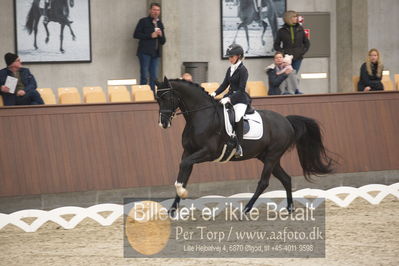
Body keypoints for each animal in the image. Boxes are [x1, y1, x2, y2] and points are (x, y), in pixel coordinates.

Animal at [156, 78, 334, 215]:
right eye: (157, 99)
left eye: (167, 97)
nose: (163, 123)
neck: (201, 116)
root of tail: (286, 121)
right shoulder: (188, 152)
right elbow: (183, 176)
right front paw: (172, 210)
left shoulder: (207, 152)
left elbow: (183, 168)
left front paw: (182, 194)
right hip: (267, 157)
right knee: (286, 179)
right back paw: (289, 209)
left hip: (272, 156)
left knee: (264, 182)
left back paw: (246, 210)